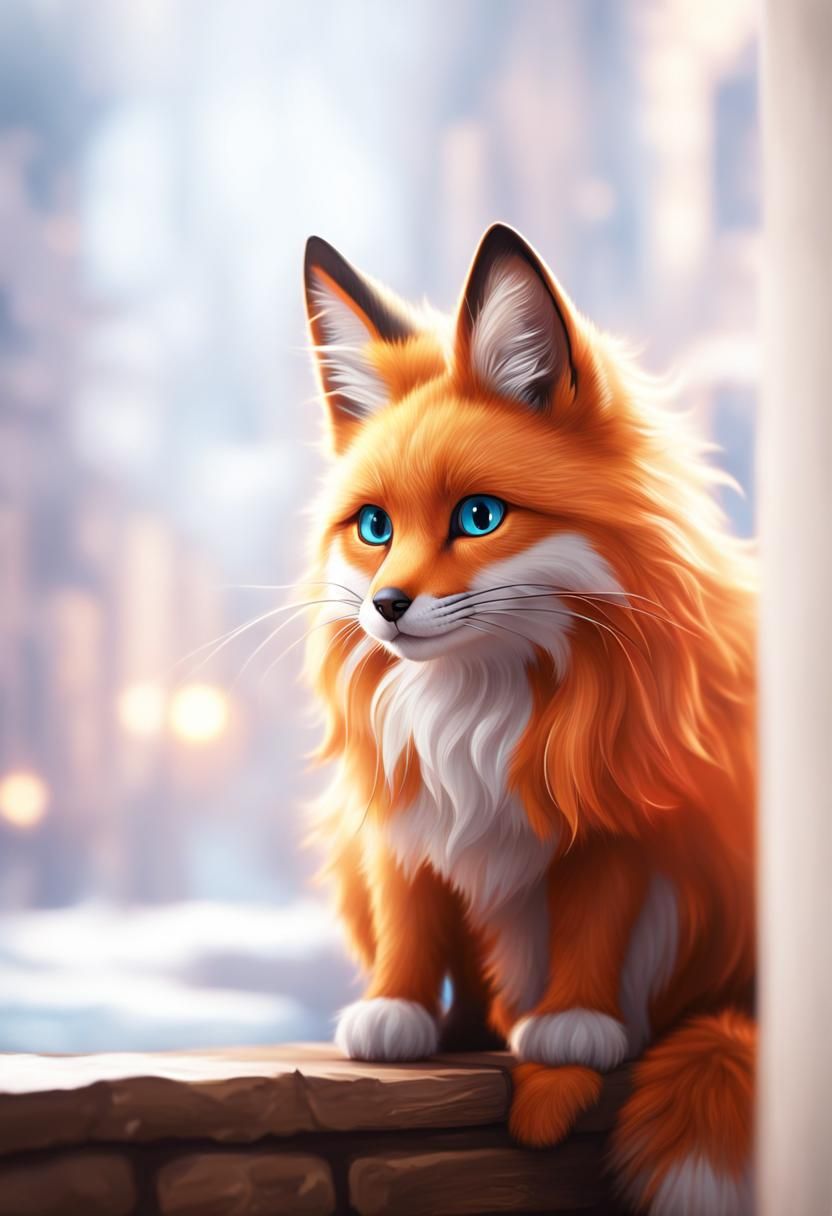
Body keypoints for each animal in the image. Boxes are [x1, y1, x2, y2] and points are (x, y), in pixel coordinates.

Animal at [301, 223, 756, 1216]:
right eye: (374, 528)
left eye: (479, 517)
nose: (386, 608)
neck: (477, 711)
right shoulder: (400, 812)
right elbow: (410, 910)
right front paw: (398, 1010)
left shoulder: (623, 816)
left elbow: (596, 917)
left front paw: (576, 1023)